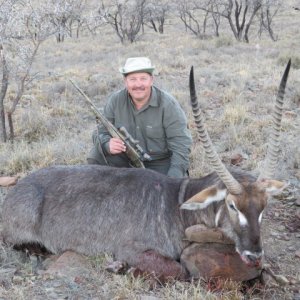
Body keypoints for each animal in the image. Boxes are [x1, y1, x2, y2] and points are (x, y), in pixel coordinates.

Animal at [0, 59, 290, 280]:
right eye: (231, 205)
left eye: (264, 206)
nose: (254, 255)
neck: (177, 203)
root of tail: (18, 188)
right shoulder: (131, 249)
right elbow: (180, 270)